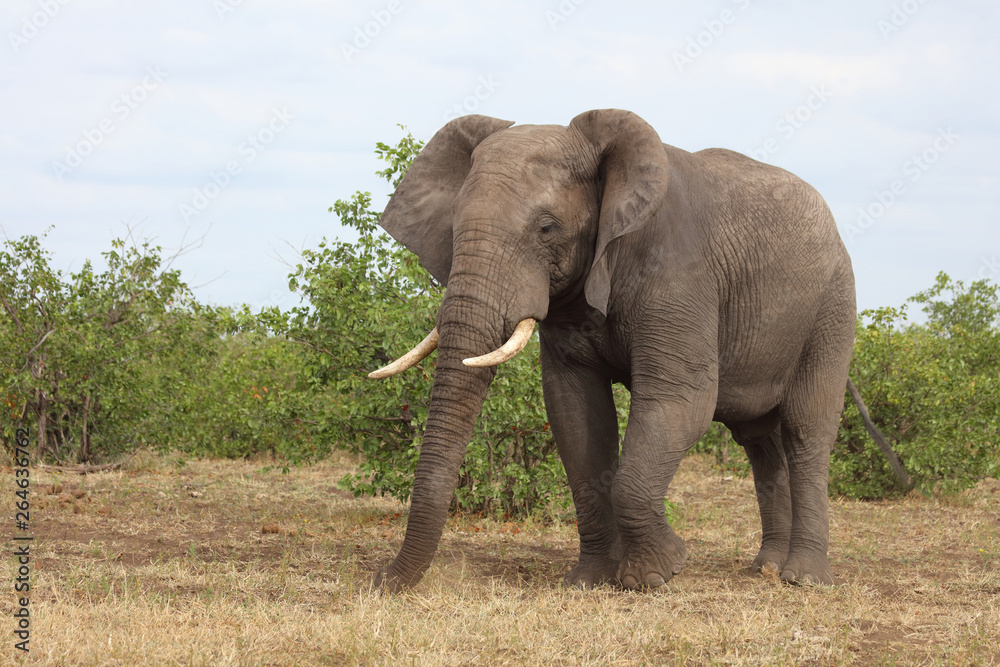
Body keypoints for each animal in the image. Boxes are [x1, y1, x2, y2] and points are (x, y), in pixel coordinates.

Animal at [366, 109, 856, 592]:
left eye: (546, 228)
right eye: (452, 228)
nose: (381, 579)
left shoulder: (679, 273)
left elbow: (682, 400)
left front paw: (657, 574)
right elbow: (575, 413)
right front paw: (590, 581)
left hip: (834, 306)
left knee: (806, 427)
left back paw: (804, 578)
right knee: (757, 440)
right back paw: (766, 568)